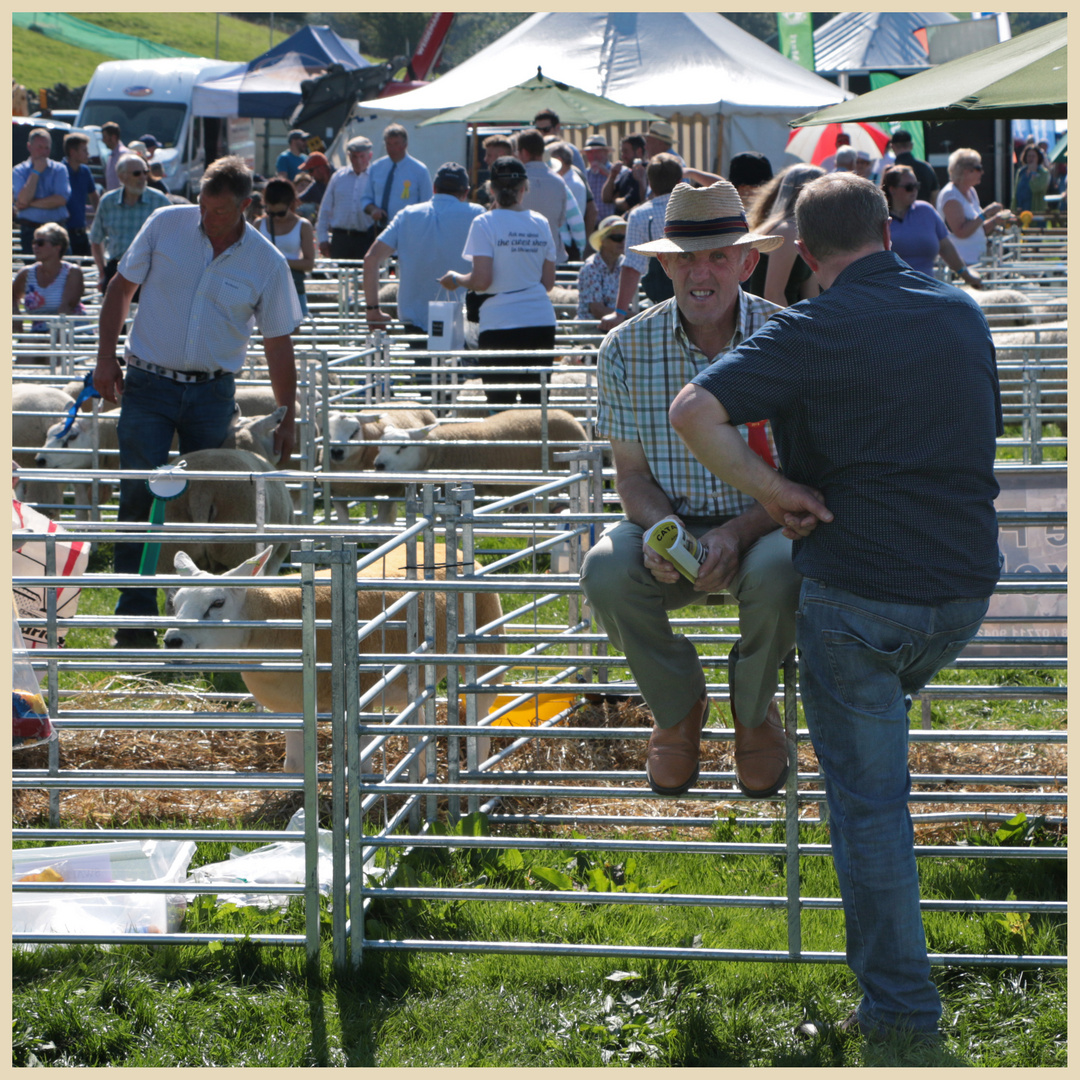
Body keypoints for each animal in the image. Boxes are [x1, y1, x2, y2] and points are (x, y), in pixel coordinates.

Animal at [160, 544, 505, 773]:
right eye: (176, 602)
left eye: (217, 603)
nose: (172, 641)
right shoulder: (292, 707)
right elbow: (294, 768)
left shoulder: (363, 700)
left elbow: (362, 764)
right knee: (418, 722)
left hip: (486, 653)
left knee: (481, 718)